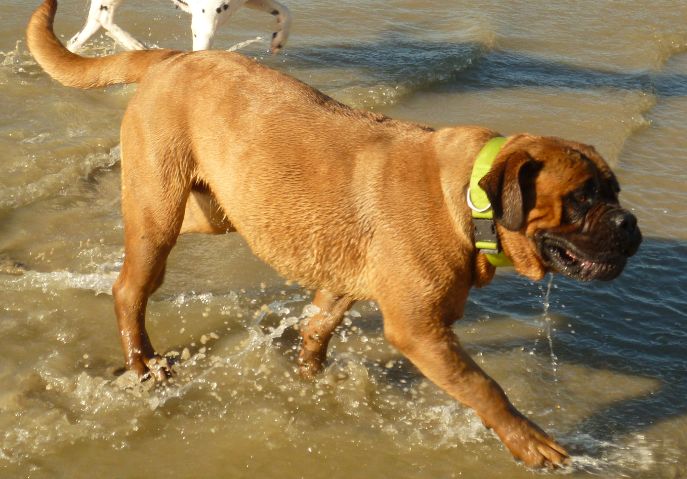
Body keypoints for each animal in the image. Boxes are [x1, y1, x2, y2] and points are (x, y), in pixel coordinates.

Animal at [25, 0, 640, 470]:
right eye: (583, 199)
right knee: (131, 290)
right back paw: (144, 364)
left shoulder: (344, 285)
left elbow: (317, 330)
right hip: (160, 212)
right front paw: (529, 440)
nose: (629, 224)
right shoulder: (420, 331)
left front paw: (310, 383)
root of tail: (175, 57)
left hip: (213, 206)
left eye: (614, 190)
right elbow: (484, 387)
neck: (467, 198)